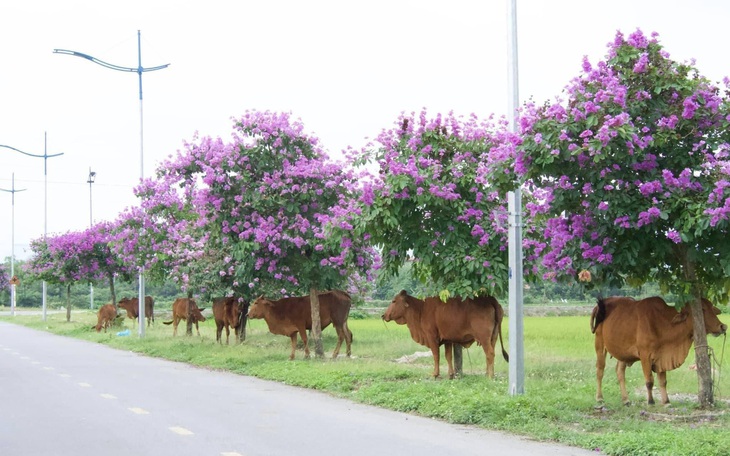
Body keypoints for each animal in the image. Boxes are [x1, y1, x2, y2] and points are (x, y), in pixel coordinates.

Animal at [588, 296, 724, 406]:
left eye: (712, 308)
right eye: (702, 310)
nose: (722, 326)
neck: (662, 323)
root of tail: (599, 304)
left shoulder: (662, 357)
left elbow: (663, 381)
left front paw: (666, 402)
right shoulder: (645, 356)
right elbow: (649, 381)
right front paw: (651, 402)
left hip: (623, 353)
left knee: (620, 372)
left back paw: (626, 400)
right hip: (600, 345)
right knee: (600, 371)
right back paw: (599, 398)